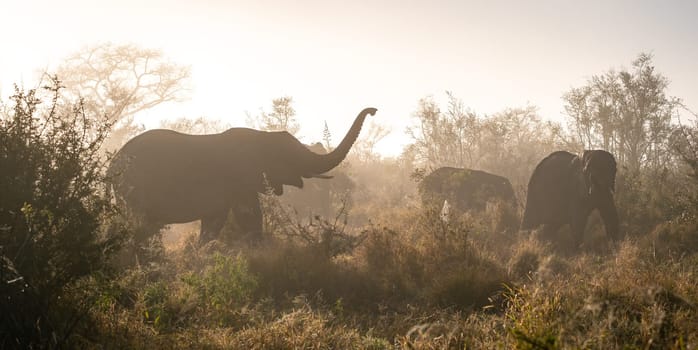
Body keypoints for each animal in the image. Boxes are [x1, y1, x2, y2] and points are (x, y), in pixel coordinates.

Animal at [107, 106, 376, 243]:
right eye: (293, 157)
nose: (373, 111)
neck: (263, 136)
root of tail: (112, 163)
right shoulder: (240, 178)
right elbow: (249, 217)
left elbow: (215, 222)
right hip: (134, 186)